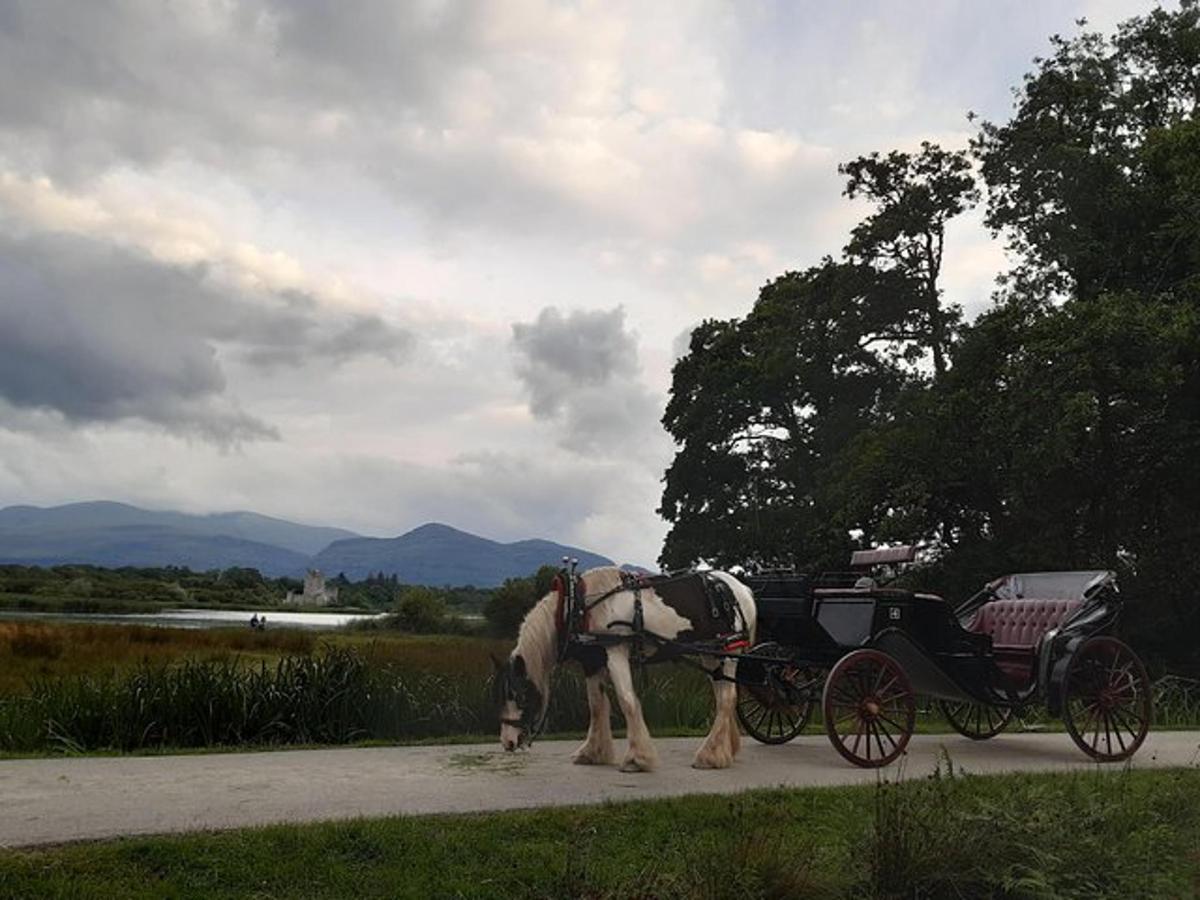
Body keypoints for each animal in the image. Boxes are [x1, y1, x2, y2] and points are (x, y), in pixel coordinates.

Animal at [492, 566, 753, 772]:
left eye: (518, 695)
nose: (508, 743)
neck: (578, 606)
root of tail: (741, 588)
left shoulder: (615, 650)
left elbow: (626, 699)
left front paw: (637, 759)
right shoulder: (592, 661)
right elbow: (596, 705)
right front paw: (592, 752)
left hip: (728, 651)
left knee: (727, 698)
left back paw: (710, 756)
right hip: (711, 654)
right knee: (722, 696)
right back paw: (725, 749)